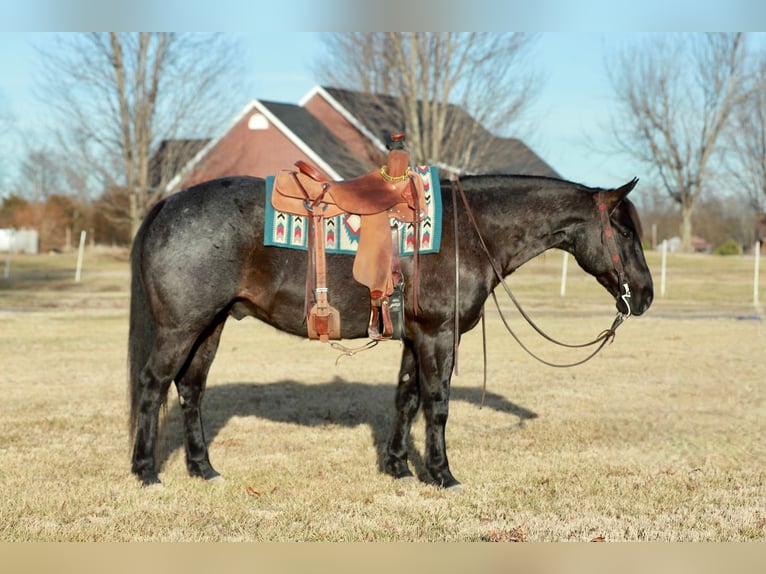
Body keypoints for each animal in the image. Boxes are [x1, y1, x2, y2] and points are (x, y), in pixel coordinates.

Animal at [128, 173, 654, 488]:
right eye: (626, 232)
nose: (645, 295)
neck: (469, 230)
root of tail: (168, 204)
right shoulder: (439, 335)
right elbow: (437, 405)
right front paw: (441, 474)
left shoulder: (416, 337)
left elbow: (406, 398)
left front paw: (398, 465)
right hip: (180, 328)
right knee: (153, 387)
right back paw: (146, 471)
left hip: (210, 326)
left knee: (190, 390)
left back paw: (203, 468)